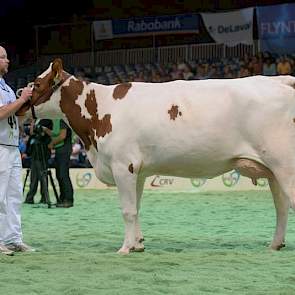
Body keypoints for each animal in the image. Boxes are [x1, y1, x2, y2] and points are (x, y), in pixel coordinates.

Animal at [16, 59, 295, 254]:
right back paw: (275, 244)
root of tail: (279, 81)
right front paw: (138, 243)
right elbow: (137, 208)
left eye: (37, 84)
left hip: (285, 166)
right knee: (281, 207)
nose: (19, 97)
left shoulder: (122, 165)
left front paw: (125, 248)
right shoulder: (137, 170)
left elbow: (127, 210)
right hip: (273, 170)